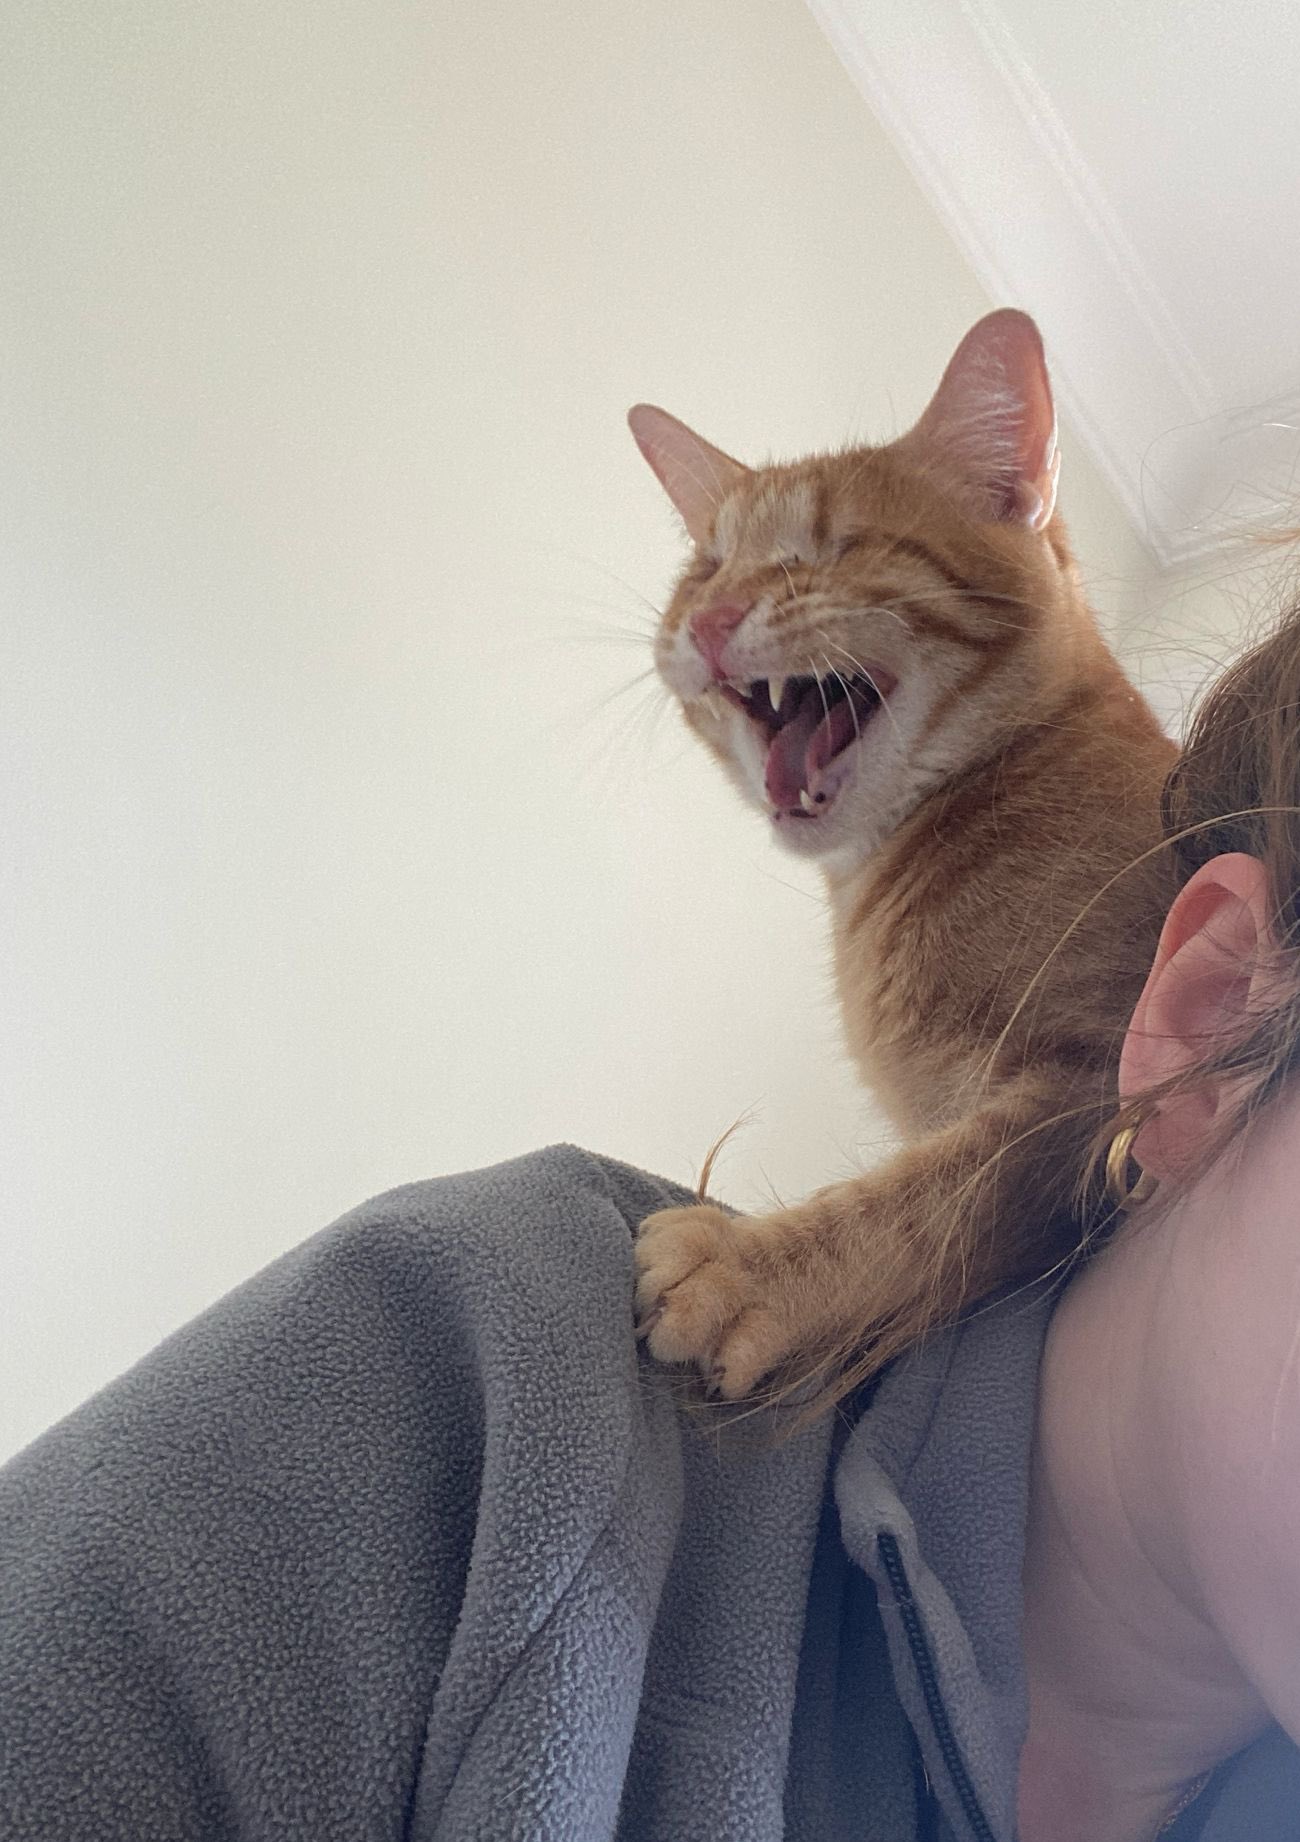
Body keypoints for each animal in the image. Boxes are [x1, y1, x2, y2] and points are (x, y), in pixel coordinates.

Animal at [628, 309, 1178, 1403]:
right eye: (706, 568)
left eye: (829, 547)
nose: (708, 623)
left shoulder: (1104, 1079)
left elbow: (924, 1201)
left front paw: (747, 1266)